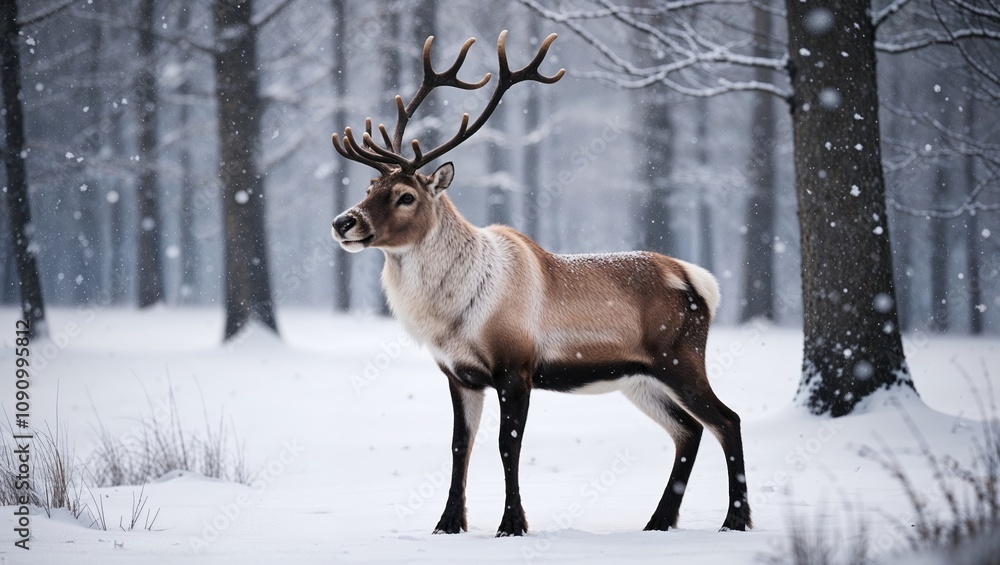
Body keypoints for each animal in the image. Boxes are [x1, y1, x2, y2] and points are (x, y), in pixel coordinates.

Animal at [329, 30, 751, 538]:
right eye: (370, 187)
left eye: (406, 195)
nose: (343, 222)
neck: (453, 315)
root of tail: (700, 281)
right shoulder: (458, 374)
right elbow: (459, 448)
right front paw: (447, 524)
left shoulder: (517, 366)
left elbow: (506, 447)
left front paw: (512, 524)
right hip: (640, 376)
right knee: (688, 430)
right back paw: (659, 521)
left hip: (680, 358)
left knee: (727, 419)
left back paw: (736, 519)